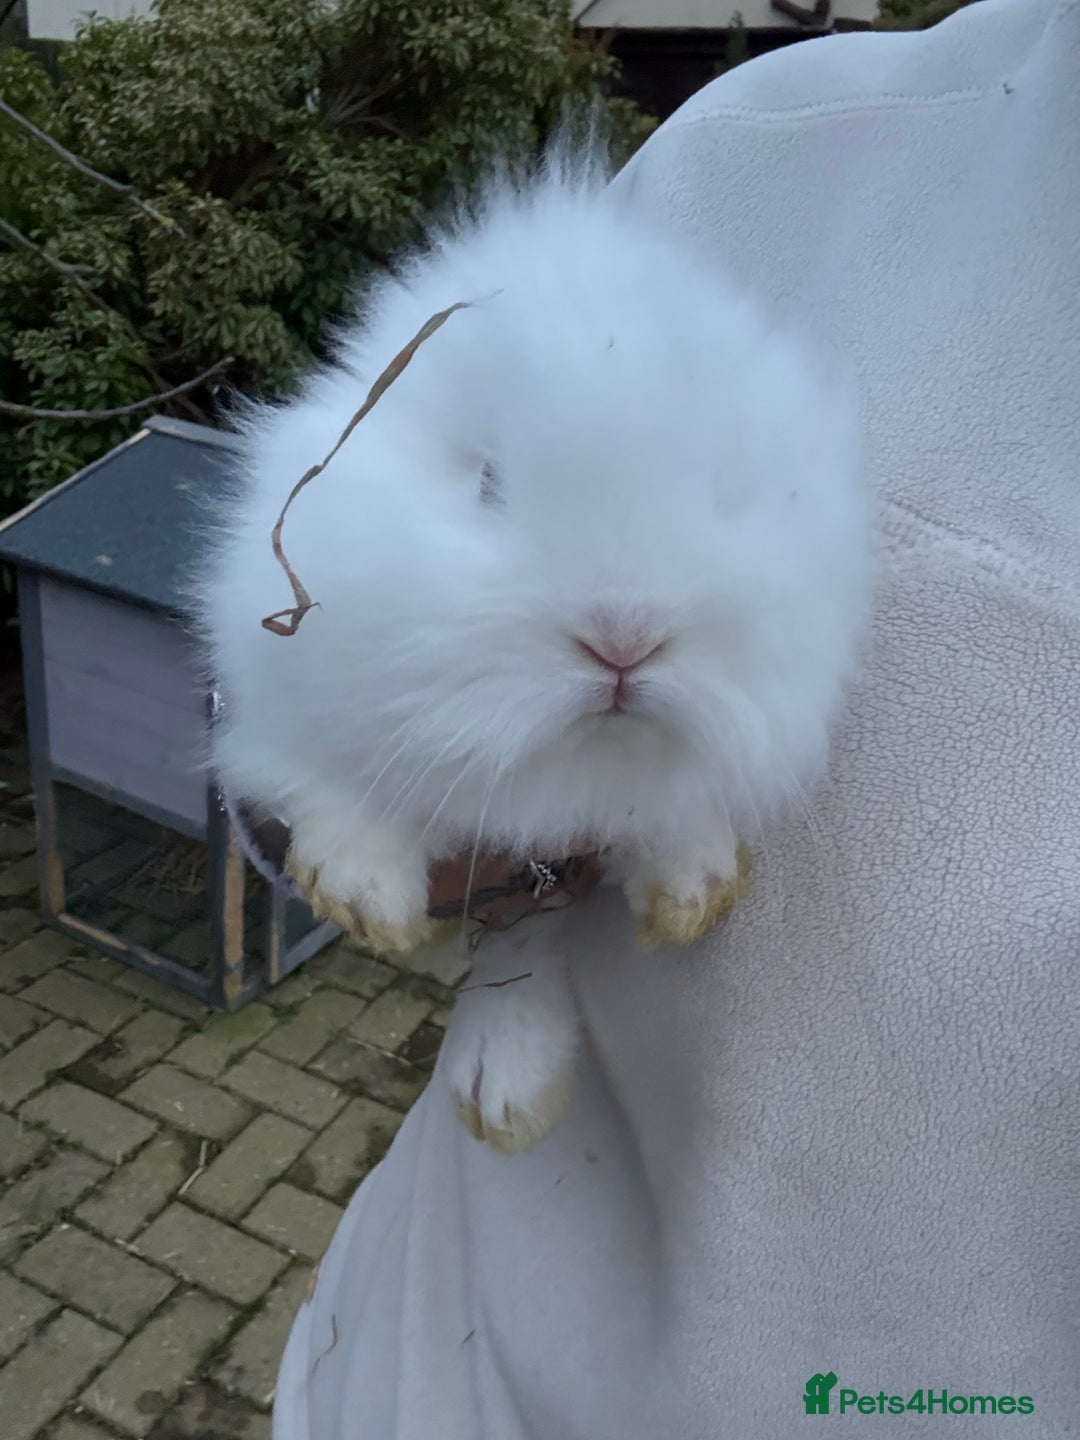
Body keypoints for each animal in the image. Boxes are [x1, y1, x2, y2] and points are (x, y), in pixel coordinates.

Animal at [193, 133, 872, 1152]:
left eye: (723, 490)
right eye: (487, 482)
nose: (624, 640)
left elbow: (668, 823)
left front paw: (693, 889)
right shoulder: (265, 706)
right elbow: (320, 780)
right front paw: (364, 893)